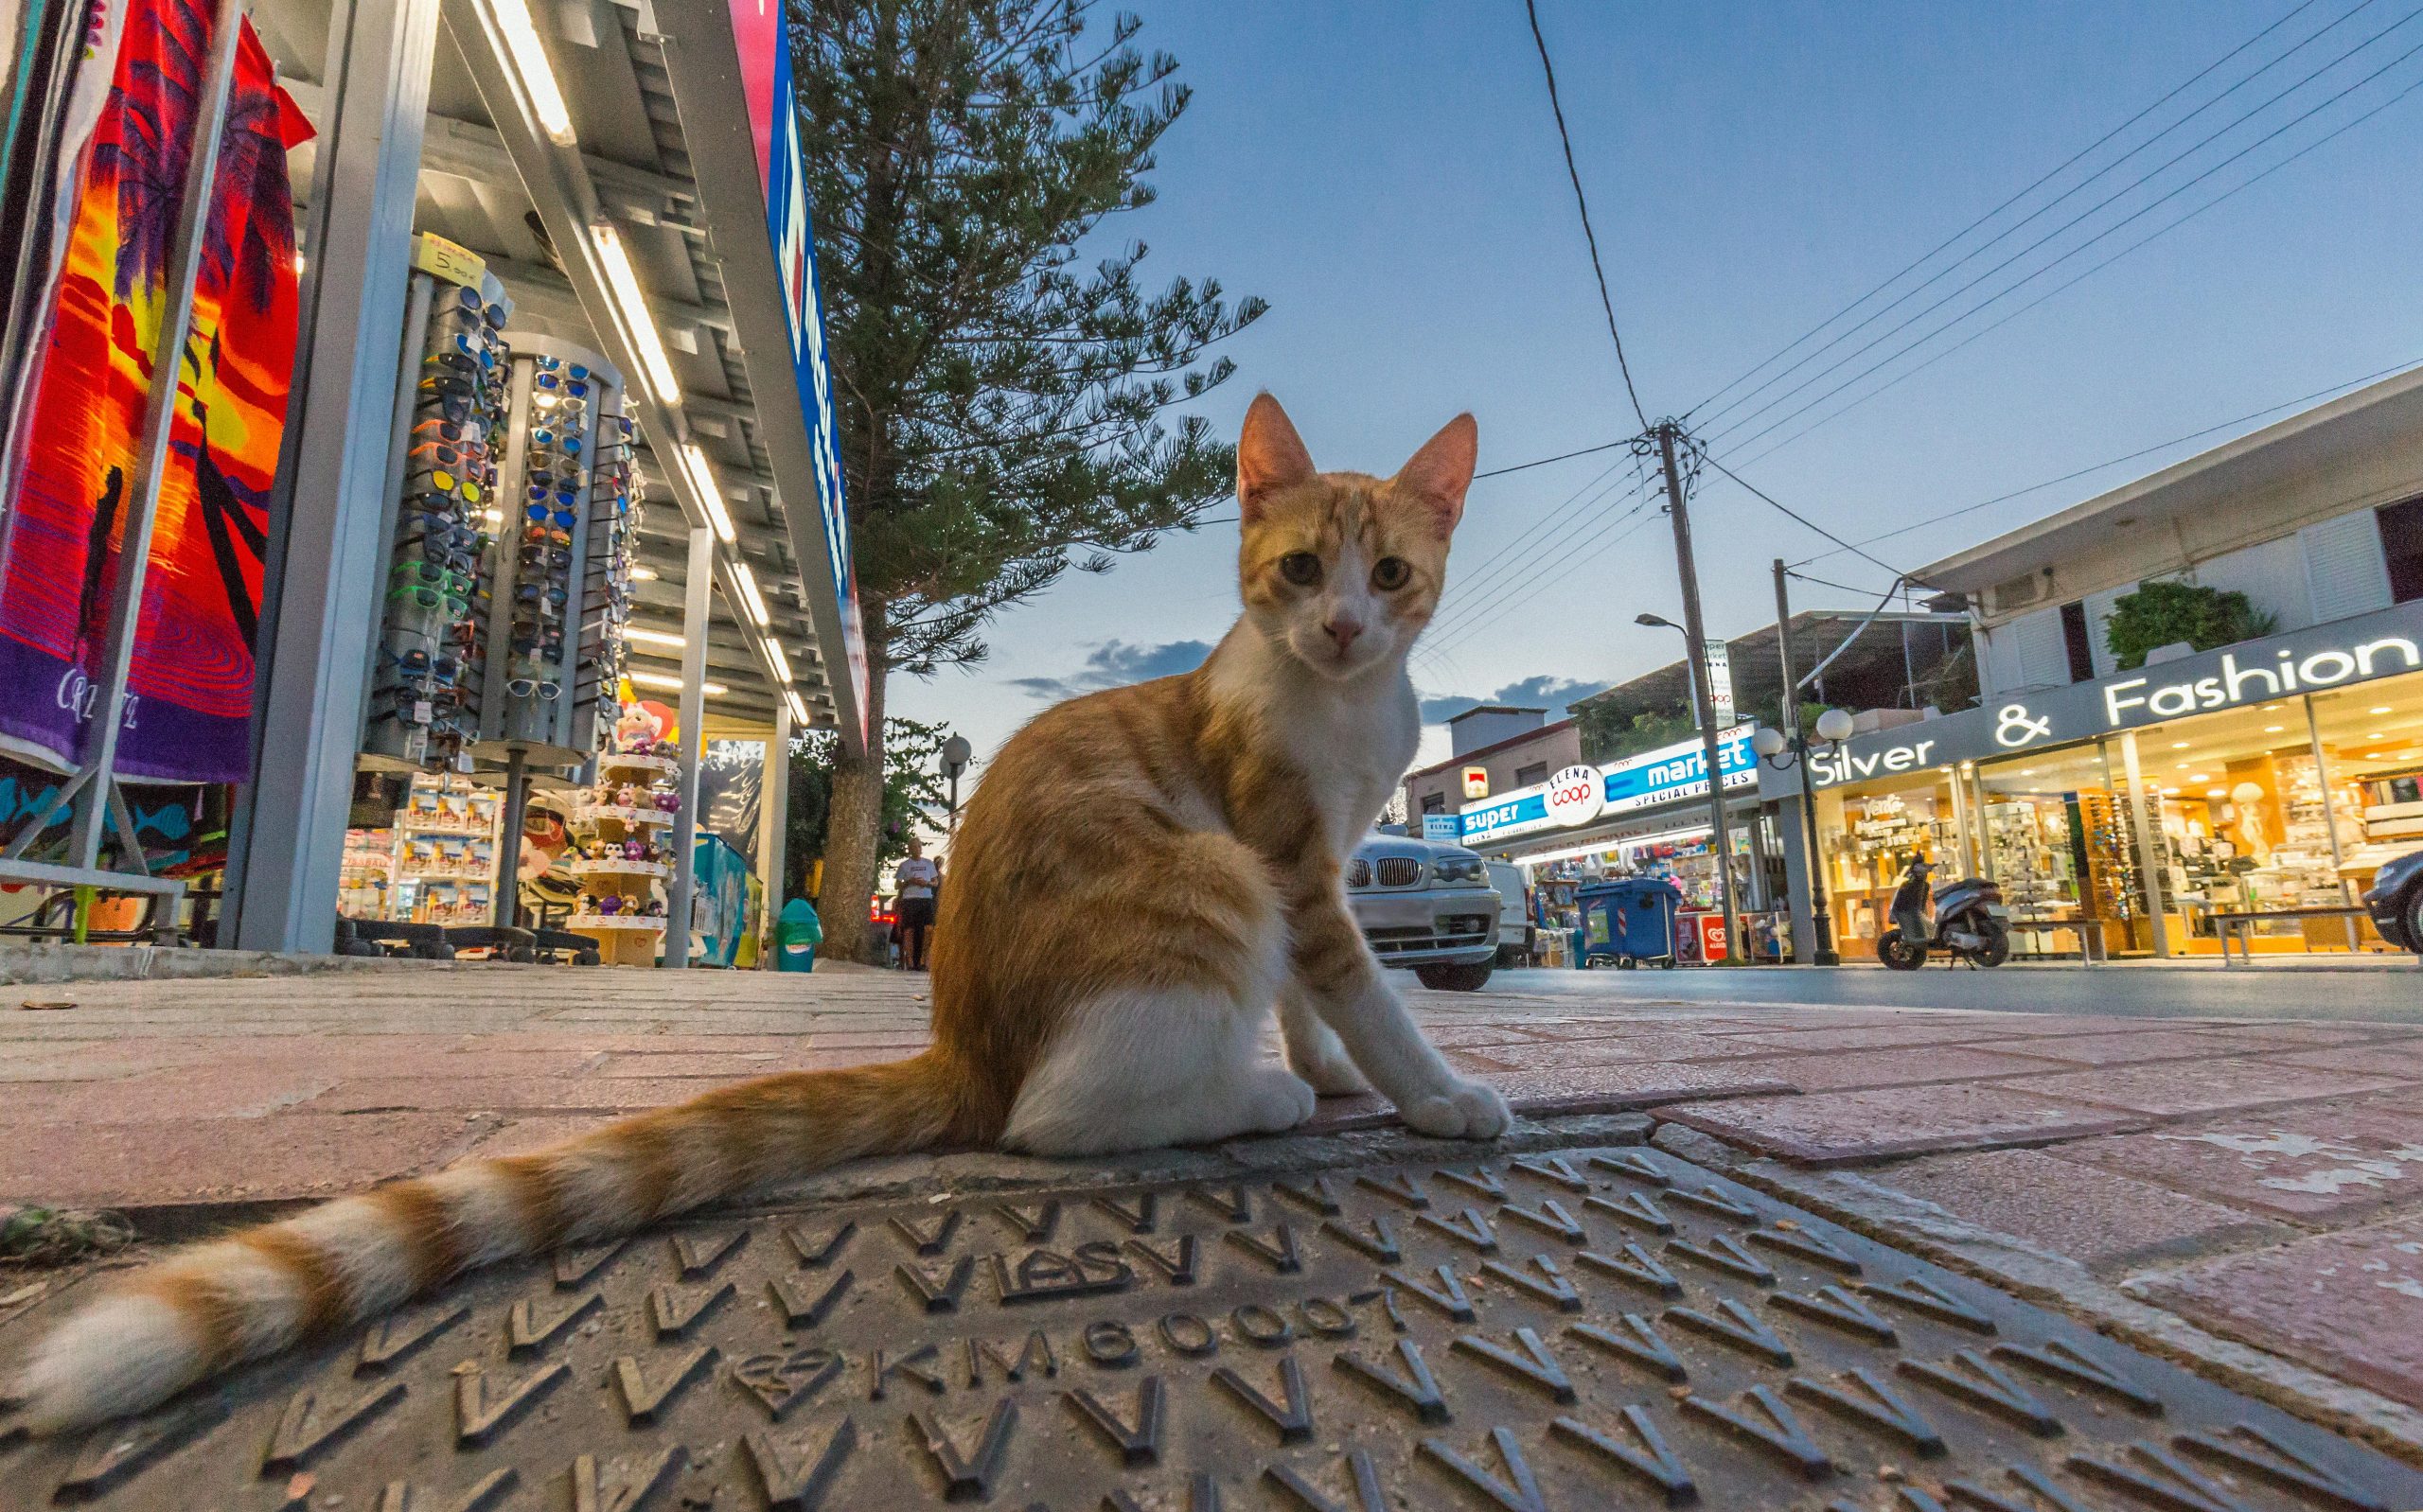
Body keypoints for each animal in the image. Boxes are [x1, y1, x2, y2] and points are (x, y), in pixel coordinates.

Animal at [9, 390, 1502, 1424]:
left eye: (1389, 576)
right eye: (1302, 570)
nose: (1345, 628)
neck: (1342, 707)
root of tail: (964, 1039)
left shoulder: (1323, 855)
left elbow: (1320, 984)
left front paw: (1340, 1062)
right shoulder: (1280, 853)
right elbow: (1361, 982)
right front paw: (1429, 1091)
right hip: (1203, 877)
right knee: (1055, 1118)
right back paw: (1253, 1096)